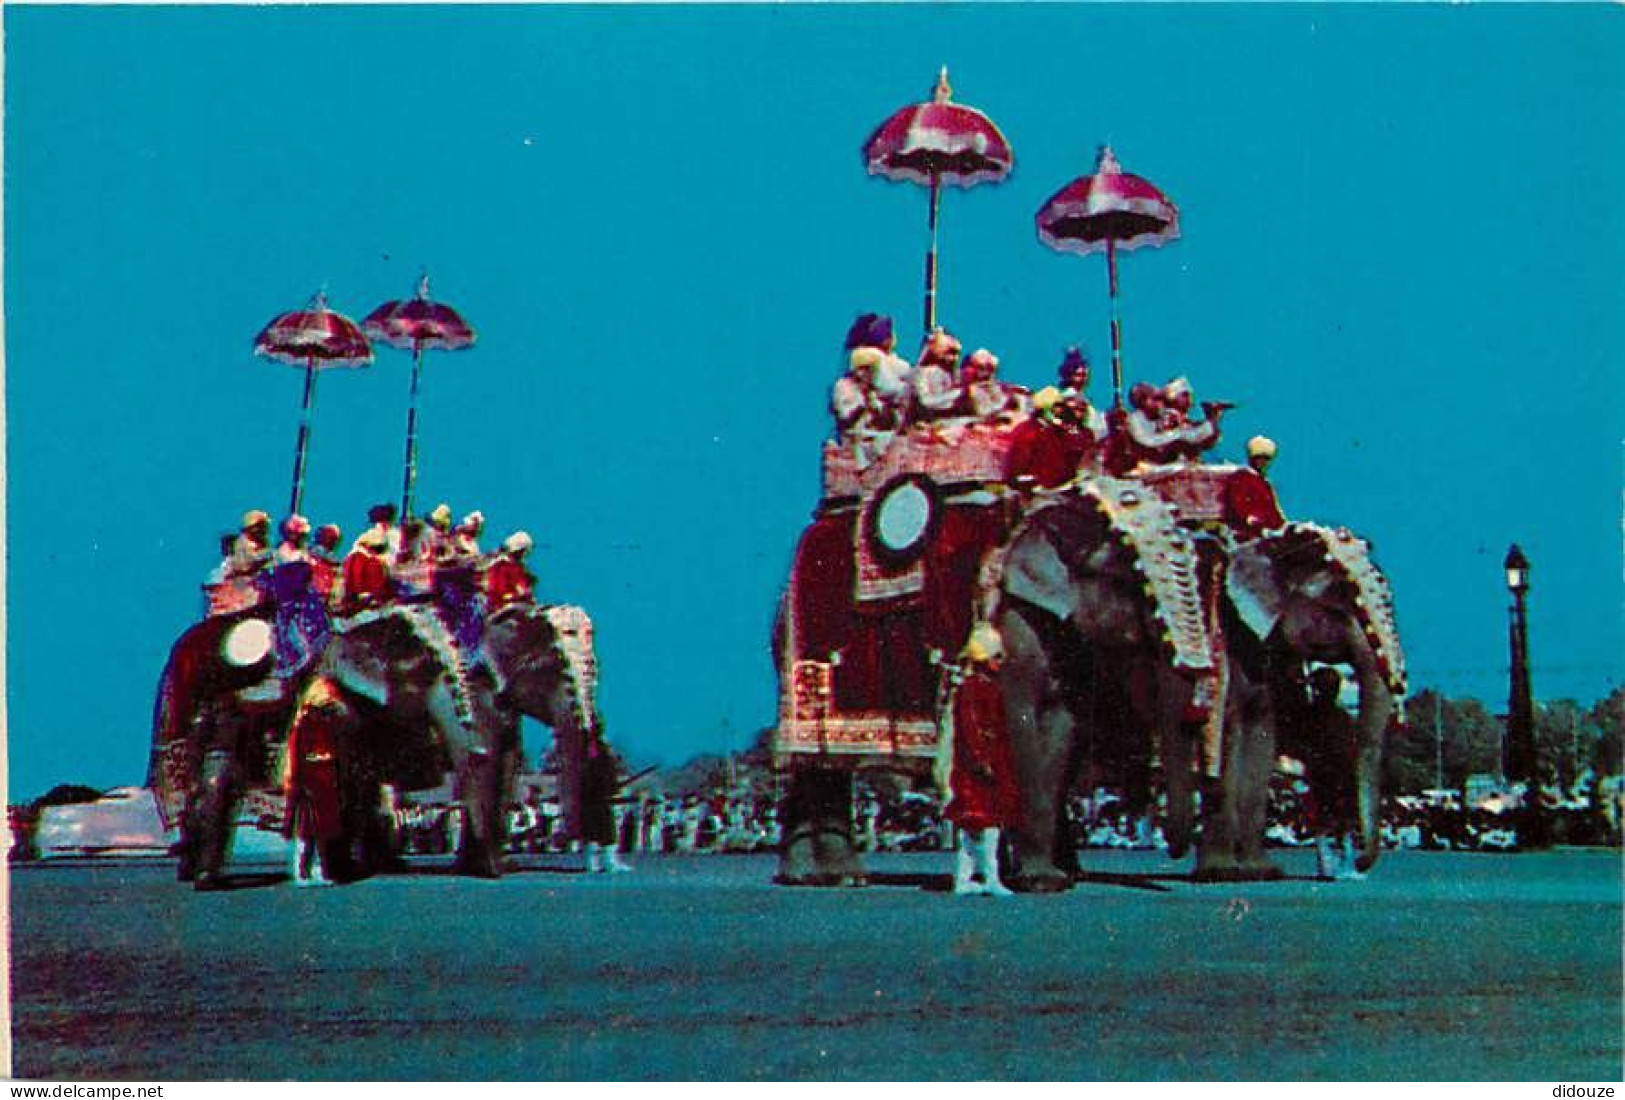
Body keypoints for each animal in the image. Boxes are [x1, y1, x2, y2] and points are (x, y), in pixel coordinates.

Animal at [988, 480, 1222, 890]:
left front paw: (1048, 880)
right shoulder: (1016, 623)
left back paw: (1068, 871)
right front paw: (1038, 883)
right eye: (1131, 579)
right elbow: (1022, 718)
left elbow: (1061, 728)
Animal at [1196, 519, 1410, 877]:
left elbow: (1261, 730)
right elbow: (1230, 726)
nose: (1361, 864)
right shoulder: (1226, 638)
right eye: (1337, 610)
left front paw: (1260, 872)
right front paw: (1221, 873)